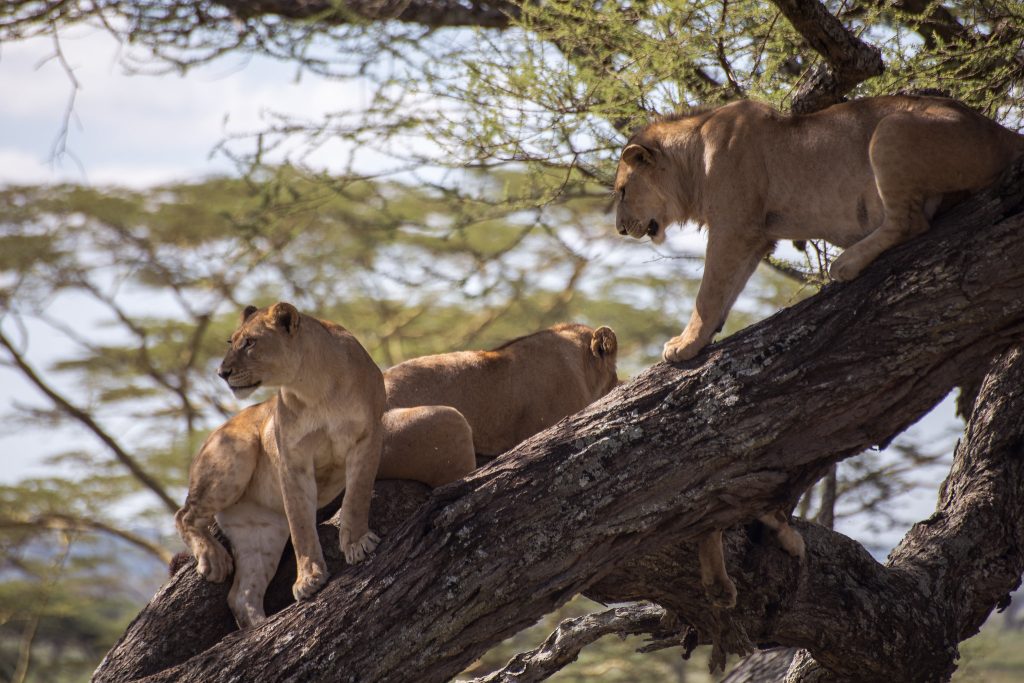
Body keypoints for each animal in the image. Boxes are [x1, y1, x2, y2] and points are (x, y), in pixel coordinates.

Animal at [174, 302, 385, 628]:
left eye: (250, 342)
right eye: (231, 341)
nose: (221, 373)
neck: (314, 386)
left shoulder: (367, 437)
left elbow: (357, 496)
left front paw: (356, 544)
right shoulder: (291, 459)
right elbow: (301, 525)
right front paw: (309, 579)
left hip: (262, 532)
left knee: (241, 595)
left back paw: (258, 629)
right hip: (237, 450)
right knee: (184, 514)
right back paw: (214, 559)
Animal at [614, 95, 1024, 364]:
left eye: (621, 191)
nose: (619, 229)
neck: (694, 156)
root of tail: (999, 130)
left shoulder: (734, 227)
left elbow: (708, 292)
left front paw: (684, 344)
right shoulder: (757, 237)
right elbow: (725, 292)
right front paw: (702, 339)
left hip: (891, 129)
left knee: (909, 221)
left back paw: (847, 264)